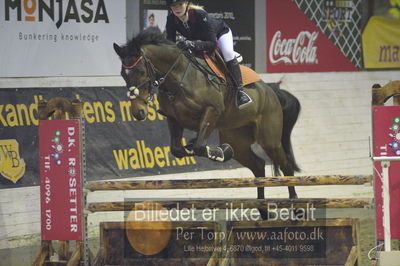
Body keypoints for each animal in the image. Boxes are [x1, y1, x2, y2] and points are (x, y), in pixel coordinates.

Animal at [112, 29, 300, 208]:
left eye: (141, 71)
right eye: (122, 74)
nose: (138, 112)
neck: (179, 78)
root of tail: (271, 91)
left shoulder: (212, 112)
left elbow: (200, 146)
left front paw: (220, 153)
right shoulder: (174, 119)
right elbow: (177, 149)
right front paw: (197, 148)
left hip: (269, 139)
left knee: (286, 165)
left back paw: (294, 202)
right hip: (237, 139)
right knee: (259, 165)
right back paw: (261, 207)